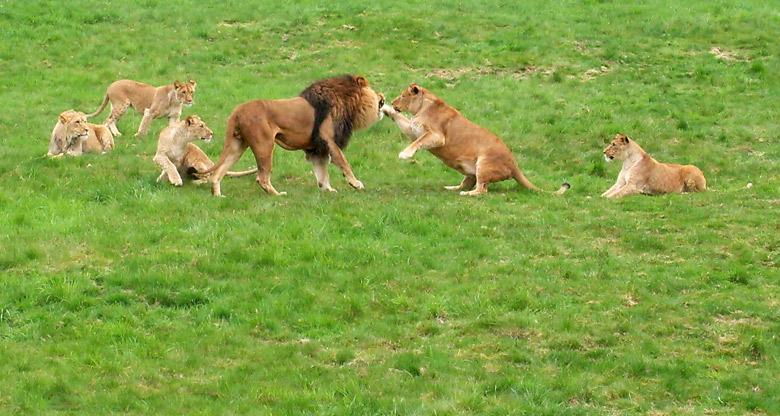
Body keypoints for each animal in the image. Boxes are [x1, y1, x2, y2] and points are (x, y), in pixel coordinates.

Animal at [200, 74, 386, 197]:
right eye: (374, 90)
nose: (382, 96)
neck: (348, 104)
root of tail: (237, 111)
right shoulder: (329, 139)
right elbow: (343, 163)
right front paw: (355, 183)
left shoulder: (317, 148)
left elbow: (322, 171)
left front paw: (327, 189)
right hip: (265, 145)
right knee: (262, 178)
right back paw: (278, 195)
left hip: (237, 145)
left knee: (217, 174)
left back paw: (218, 195)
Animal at [382, 84, 568, 197]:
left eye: (403, 95)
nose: (392, 101)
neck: (421, 108)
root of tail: (515, 165)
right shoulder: (413, 130)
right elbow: (400, 119)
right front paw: (386, 109)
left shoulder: (437, 136)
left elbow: (417, 142)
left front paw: (405, 154)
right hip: (468, 170)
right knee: (468, 182)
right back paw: (452, 188)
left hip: (483, 164)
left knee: (481, 190)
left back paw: (466, 194)